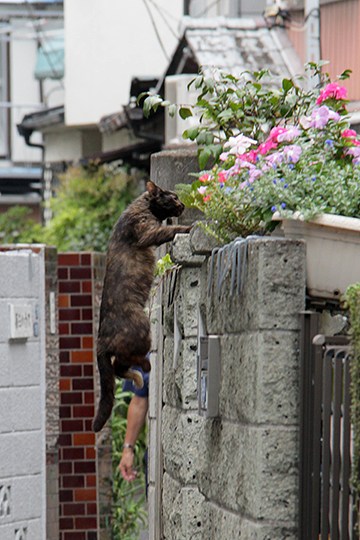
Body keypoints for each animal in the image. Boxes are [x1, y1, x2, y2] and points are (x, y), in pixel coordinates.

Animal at [93, 180, 191, 430]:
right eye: (173, 197)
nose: (183, 204)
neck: (141, 205)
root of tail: (101, 340)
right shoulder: (148, 231)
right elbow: (171, 230)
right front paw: (190, 226)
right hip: (143, 330)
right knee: (125, 363)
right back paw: (144, 370)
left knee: (119, 368)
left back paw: (137, 378)